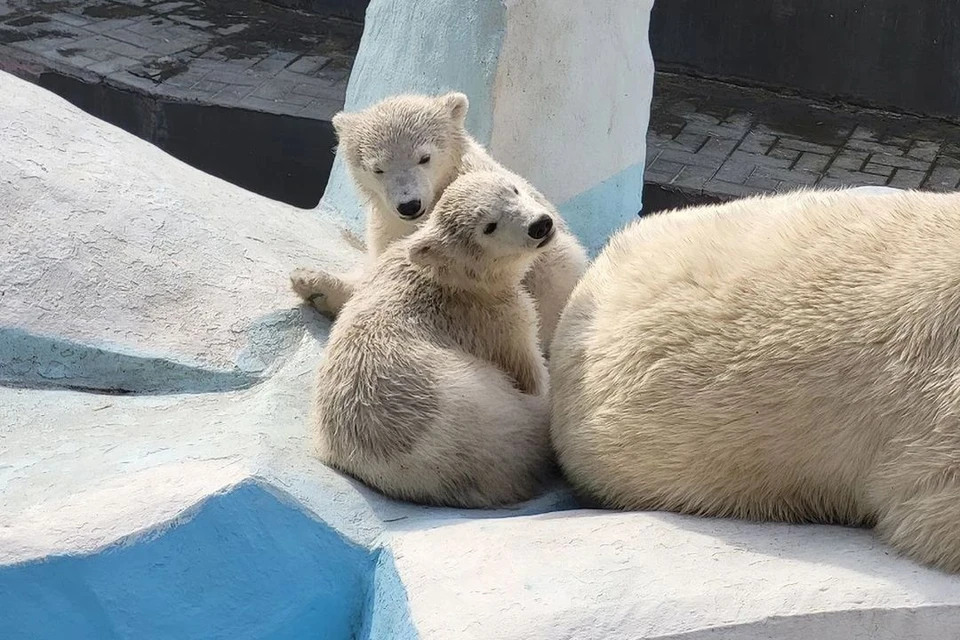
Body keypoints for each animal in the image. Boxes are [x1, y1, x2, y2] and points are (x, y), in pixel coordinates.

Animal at [288, 91, 588, 356]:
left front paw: (320, 286)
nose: (409, 205)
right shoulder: (389, 222)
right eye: (378, 168)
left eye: (424, 157)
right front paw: (312, 281)